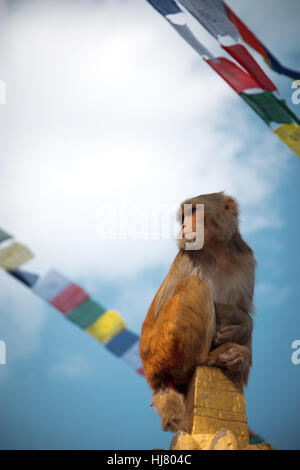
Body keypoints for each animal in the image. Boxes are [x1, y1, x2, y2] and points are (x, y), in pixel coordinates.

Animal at [140, 191, 255, 434]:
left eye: (193, 212)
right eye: (184, 215)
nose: (184, 224)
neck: (218, 251)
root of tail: (154, 377)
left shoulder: (246, 259)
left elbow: (244, 310)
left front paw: (240, 324)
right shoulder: (190, 257)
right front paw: (236, 319)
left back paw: (239, 356)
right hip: (160, 349)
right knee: (195, 285)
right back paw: (208, 358)